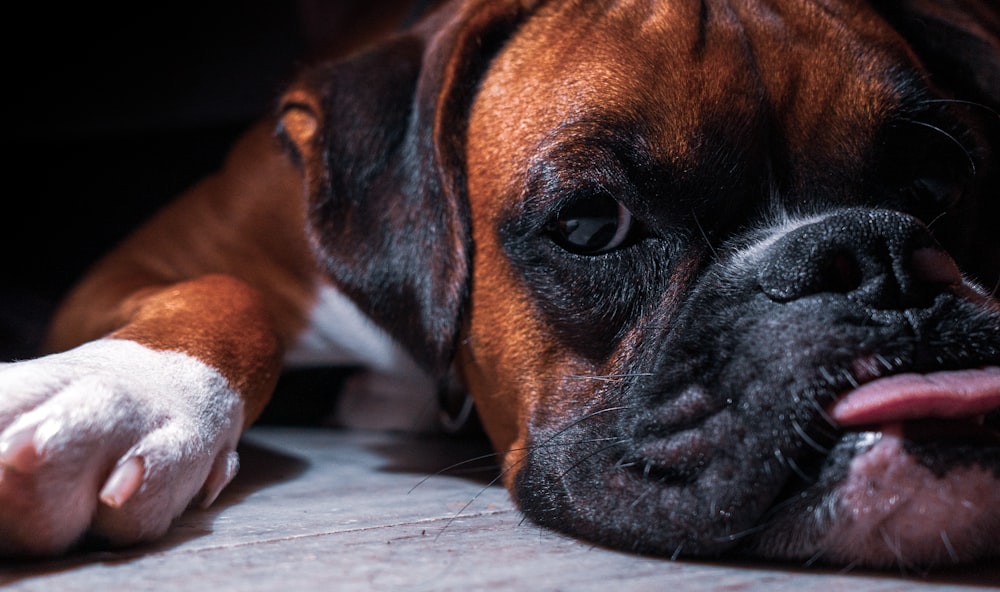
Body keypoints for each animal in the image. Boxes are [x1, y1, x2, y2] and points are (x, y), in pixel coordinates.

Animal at [1, 0, 1000, 568]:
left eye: (940, 188)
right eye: (592, 224)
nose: (874, 257)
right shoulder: (142, 264)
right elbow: (229, 294)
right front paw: (127, 394)